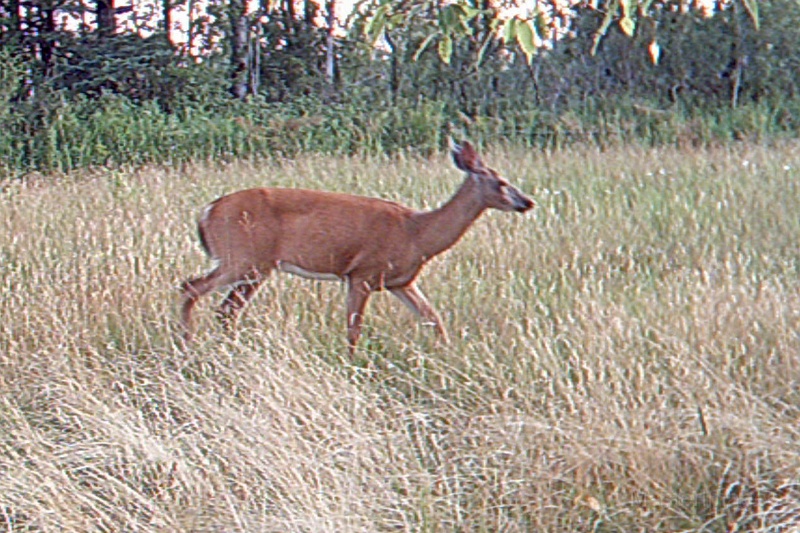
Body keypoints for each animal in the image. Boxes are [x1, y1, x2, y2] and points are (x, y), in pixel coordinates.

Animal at [178, 139, 536, 352]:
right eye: (501, 182)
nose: (527, 202)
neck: (418, 234)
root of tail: (207, 211)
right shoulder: (361, 273)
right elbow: (353, 329)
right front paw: (353, 364)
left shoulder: (401, 282)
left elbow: (434, 319)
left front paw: (447, 354)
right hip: (243, 258)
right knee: (191, 287)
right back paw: (187, 344)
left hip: (254, 267)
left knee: (225, 310)